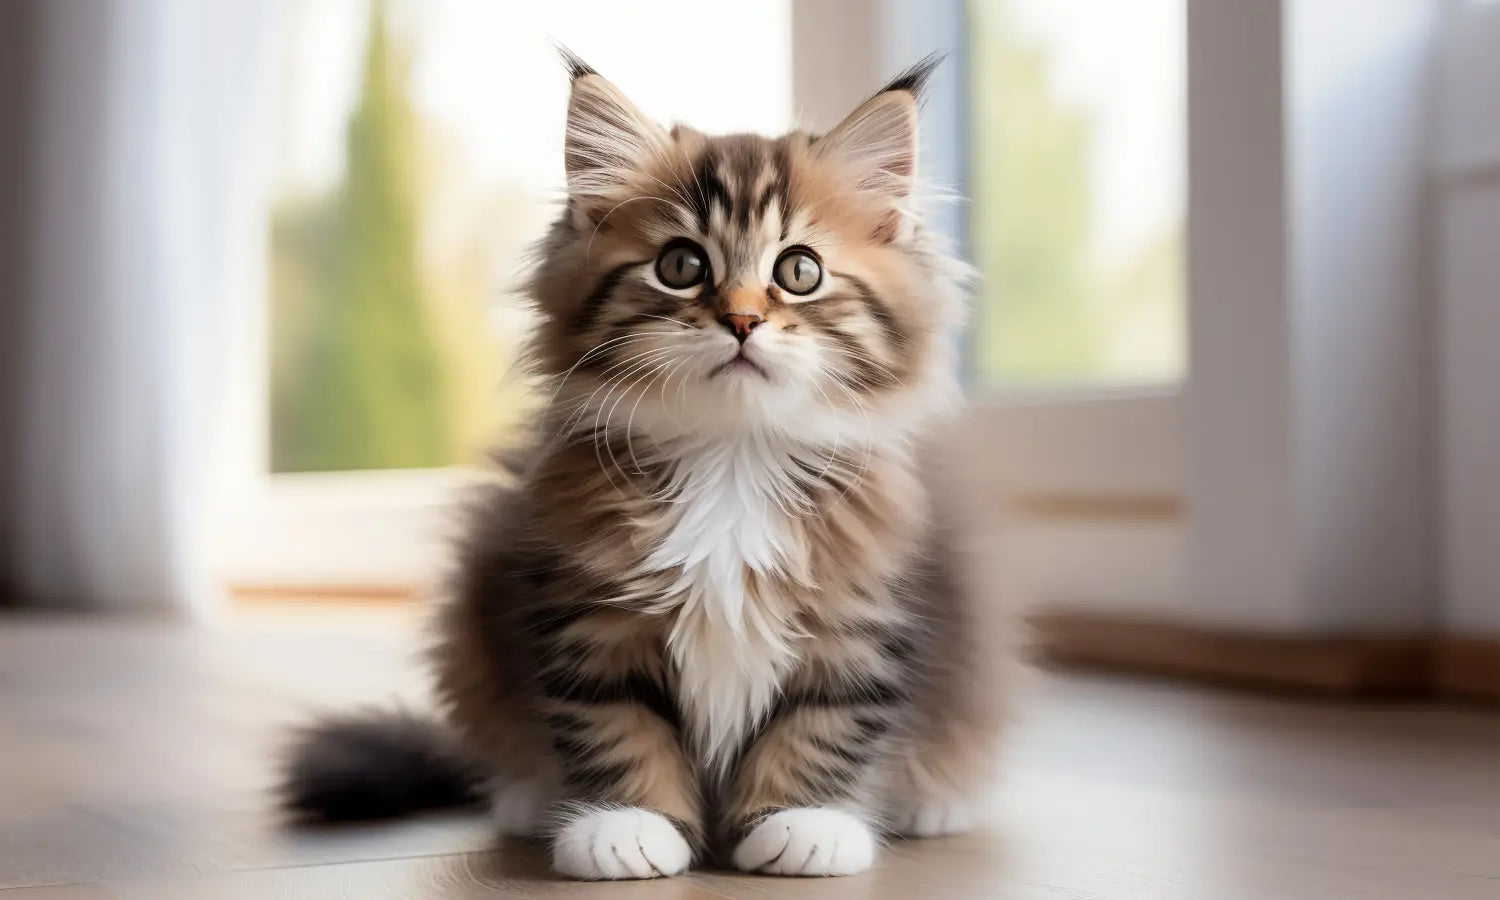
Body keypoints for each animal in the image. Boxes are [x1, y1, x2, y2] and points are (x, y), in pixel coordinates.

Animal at [279, 51, 1020, 876]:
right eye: (681, 265)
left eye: (799, 271)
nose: (741, 319)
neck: (732, 460)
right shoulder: (589, 617)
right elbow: (616, 728)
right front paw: (625, 825)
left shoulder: (860, 622)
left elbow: (821, 728)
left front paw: (802, 823)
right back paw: (529, 797)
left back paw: (934, 802)